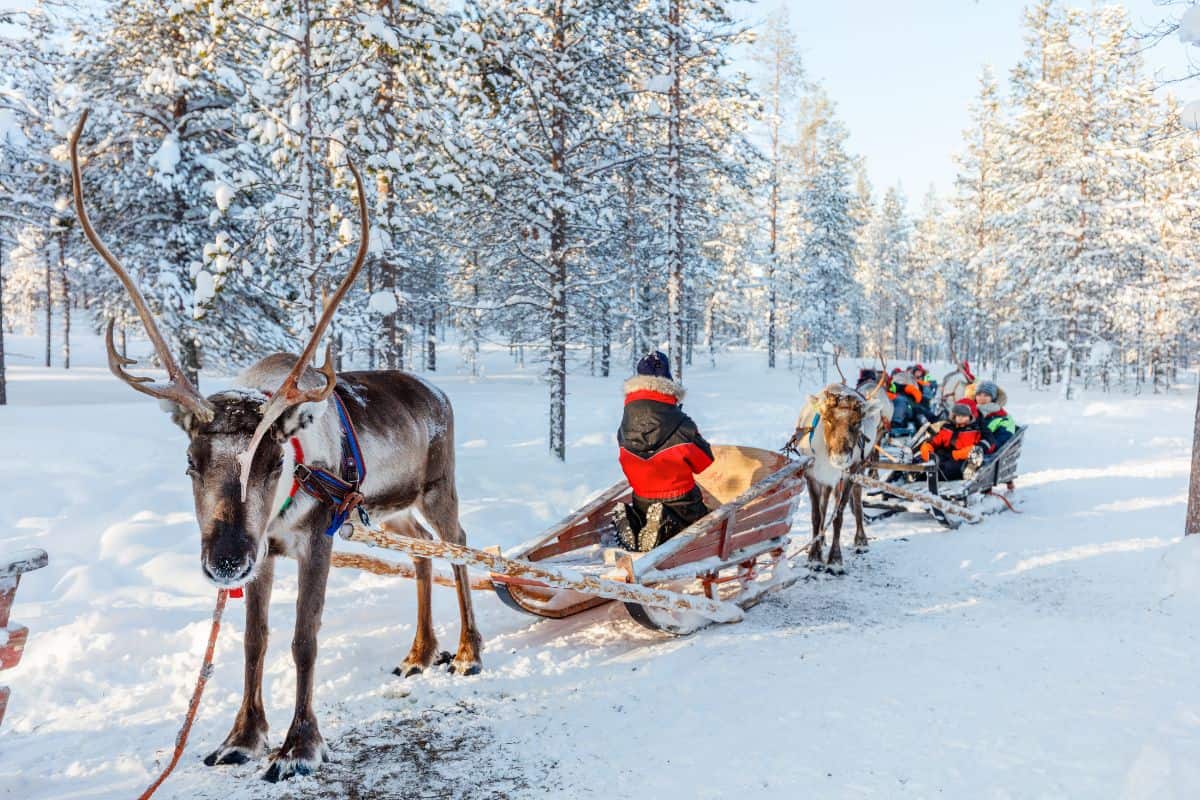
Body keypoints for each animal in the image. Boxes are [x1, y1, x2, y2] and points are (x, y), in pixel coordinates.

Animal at [69, 111, 482, 782]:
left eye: (273, 459)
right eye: (190, 462)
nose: (224, 560)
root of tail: (438, 391)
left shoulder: (317, 539)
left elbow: (303, 639)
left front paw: (300, 746)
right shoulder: (264, 551)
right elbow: (253, 640)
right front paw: (243, 736)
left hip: (437, 488)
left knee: (460, 546)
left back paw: (469, 652)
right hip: (389, 508)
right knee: (421, 553)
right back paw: (420, 652)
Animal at [786, 352, 889, 573]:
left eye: (857, 422)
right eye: (827, 419)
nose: (840, 458)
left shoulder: (849, 473)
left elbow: (839, 515)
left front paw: (834, 559)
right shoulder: (811, 475)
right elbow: (817, 514)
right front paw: (814, 556)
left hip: (859, 468)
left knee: (856, 499)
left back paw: (860, 540)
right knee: (825, 504)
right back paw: (821, 538)